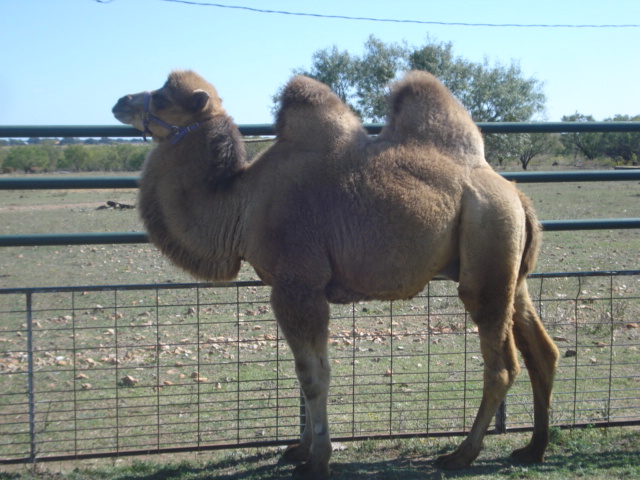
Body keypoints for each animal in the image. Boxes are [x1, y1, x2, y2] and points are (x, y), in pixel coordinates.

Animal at [112, 69, 556, 478]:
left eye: (164, 95)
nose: (120, 101)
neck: (242, 202)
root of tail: (516, 194)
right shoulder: (301, 289)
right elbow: (308, 372)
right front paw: (299, 448)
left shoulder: (298, 285)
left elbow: (313, 376)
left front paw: (317, 459)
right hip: (512, 271)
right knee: (542, 352)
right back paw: (533, 448)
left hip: (487, 258)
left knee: (501, 364)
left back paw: (462, 454)